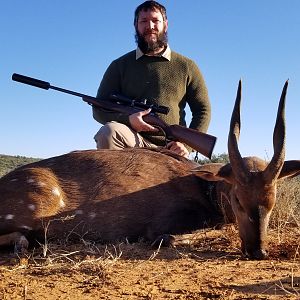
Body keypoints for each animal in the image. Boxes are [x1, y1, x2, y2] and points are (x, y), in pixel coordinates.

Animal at [0, 81, 298, 258]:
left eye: (272, 201)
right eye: (237, 198)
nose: (258, 251)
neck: (203, 188)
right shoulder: (162, 224)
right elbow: (170, 238)